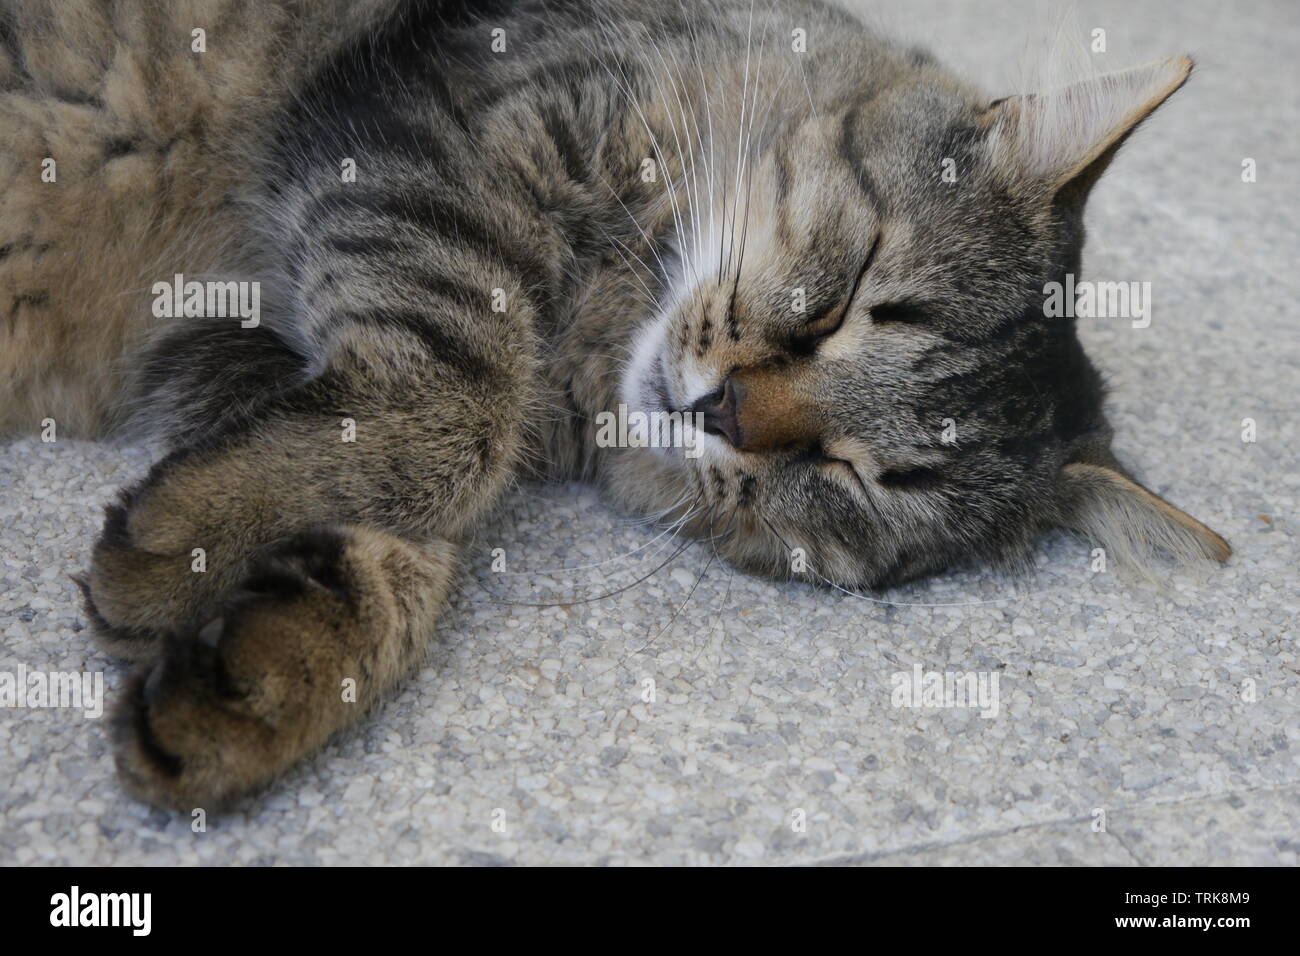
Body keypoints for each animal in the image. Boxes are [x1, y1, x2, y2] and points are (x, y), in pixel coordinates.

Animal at [0, 0, 1227, 811]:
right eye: (847, 303)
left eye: (854, 477)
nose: (723, 409)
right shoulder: (422, 134)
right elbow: (460, 401)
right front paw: (185, 554)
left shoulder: (244, 342)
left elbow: (420, 492)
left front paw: (259, 661)